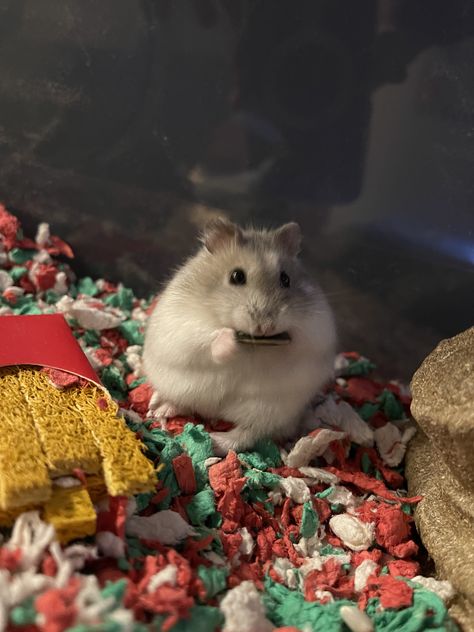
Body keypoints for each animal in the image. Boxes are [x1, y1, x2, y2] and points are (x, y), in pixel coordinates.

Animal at [143, 218, 336, 454]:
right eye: (237, 276)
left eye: (286, 279)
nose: (265, 326)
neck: (254, 345)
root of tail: (214, 413)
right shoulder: (183, 326)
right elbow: (208, 340)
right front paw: (230, 339)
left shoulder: (317, 333)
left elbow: (295, 348)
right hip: (177, 385)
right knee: (184, 403)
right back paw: (161, 409)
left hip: (271, 411)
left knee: (247, 434)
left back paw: (215, 441)